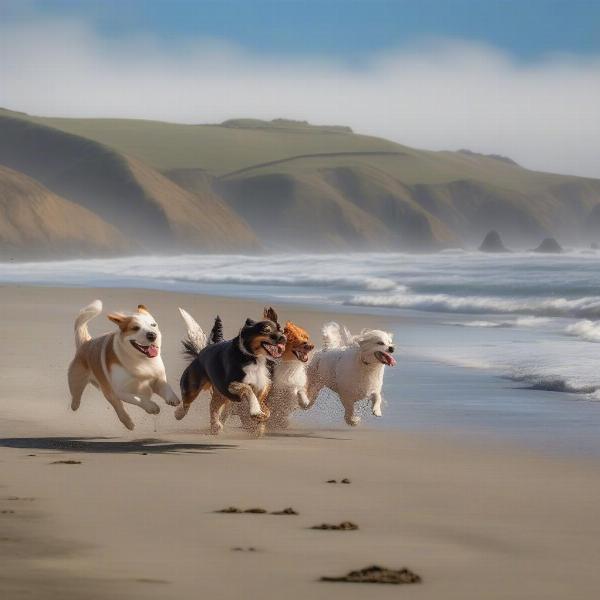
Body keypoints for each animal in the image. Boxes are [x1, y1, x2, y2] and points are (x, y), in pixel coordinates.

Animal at [67, 298, 180, 428]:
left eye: (153, 325)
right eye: (135, 328)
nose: (152, 335)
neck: (140, 360)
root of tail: (85, 342)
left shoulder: (158, 379)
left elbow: (167, 388)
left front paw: (173, 400)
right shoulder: (120, 391)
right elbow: (138, 399)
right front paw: (151, 407)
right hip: (82, 384)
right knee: (112, 406)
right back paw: (128, 423)